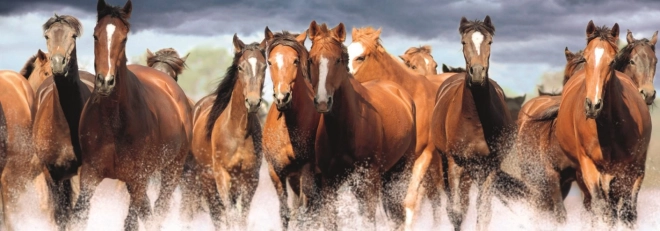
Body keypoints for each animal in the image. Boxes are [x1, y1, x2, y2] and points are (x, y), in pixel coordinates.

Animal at [70, 0, 192, 230]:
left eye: (124, 38)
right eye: (95, 35)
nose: (105, 82)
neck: (113, 122)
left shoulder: (138, 178)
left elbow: (131, 222)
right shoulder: (90, 175)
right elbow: (79, 216)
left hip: (172, 169)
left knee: (159, 208)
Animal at [202, 33, 266, 228]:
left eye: (264, 66)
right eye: (240, 67)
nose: (253, 102)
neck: (239, 131)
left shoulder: (250, 178)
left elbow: (242, 217)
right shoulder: (222, 176)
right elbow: (230, 215)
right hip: (207, 182)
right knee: (216, 215)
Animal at [306, 21, 416, 229]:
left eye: (338, 60)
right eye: (310, 59)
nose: (323, 102)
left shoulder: (369, 181)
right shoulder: (329, 182)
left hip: (400, 171)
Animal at [430, 15, 528, 230]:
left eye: (489, 42)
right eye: (463, 42)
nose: (476, 73)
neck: (475, 119)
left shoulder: (489, 167)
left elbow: (483, 212)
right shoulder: (455, 164)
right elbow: (456, 212)